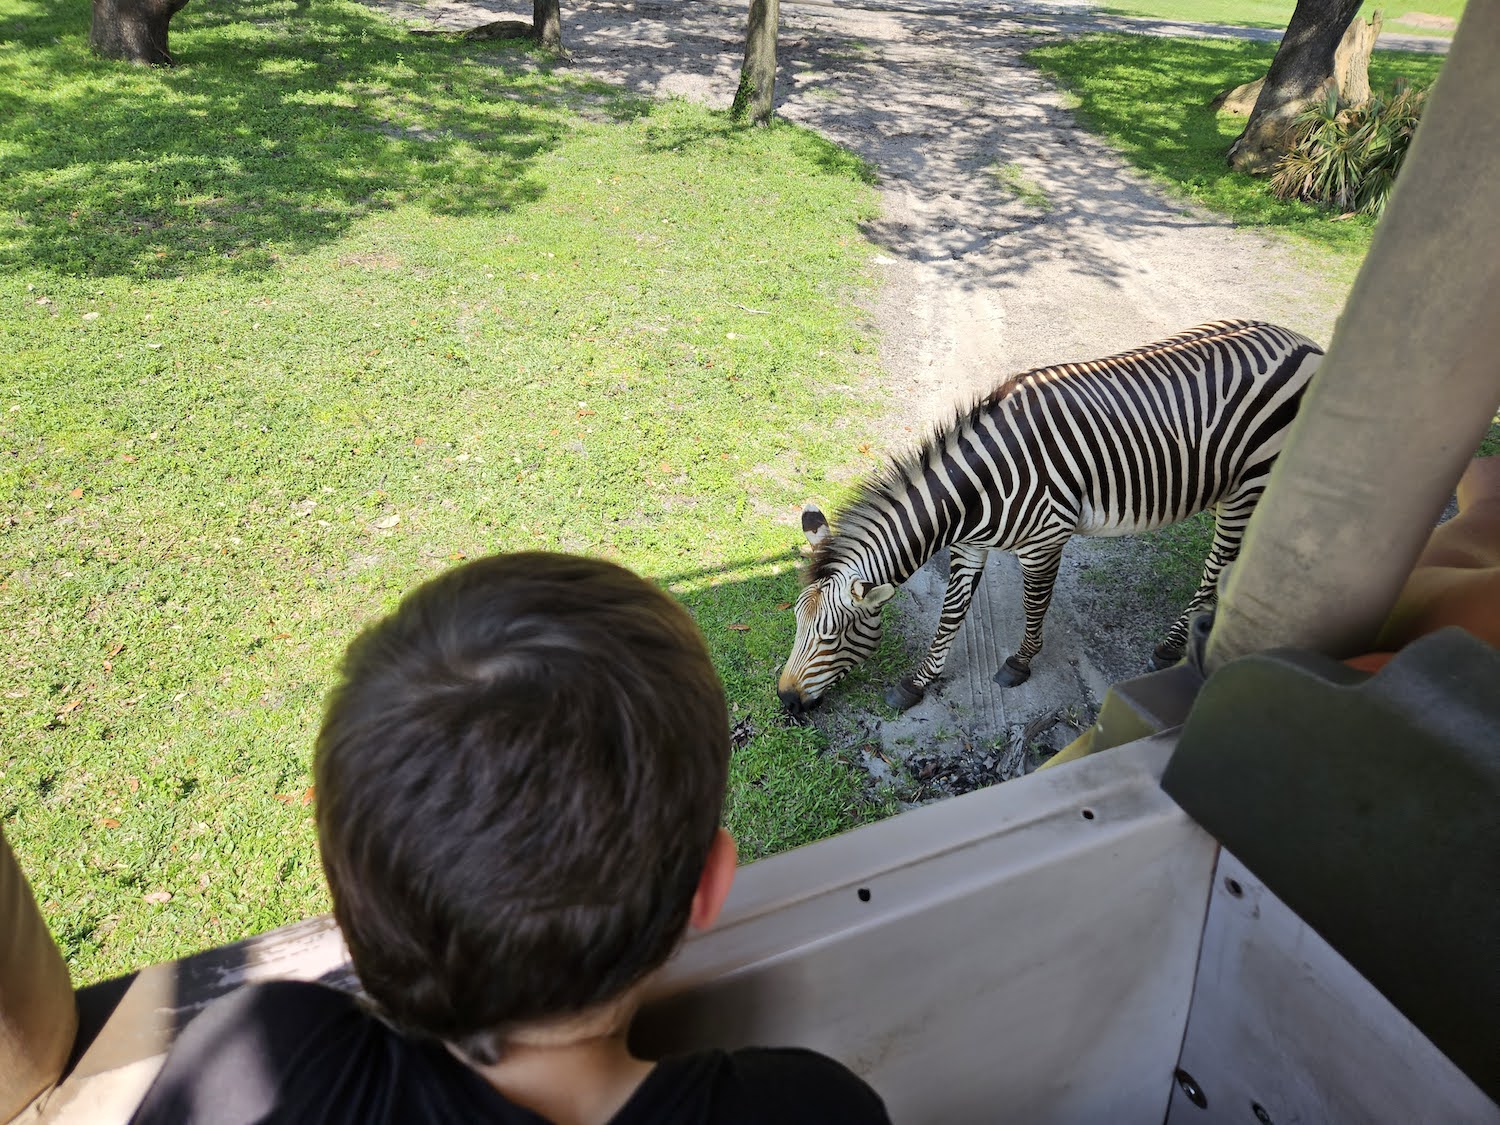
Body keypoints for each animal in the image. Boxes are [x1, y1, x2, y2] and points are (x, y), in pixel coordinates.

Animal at [780, 321, 1320, 717]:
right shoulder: (969, 545)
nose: (786, 701)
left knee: (1216, 566)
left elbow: (1034, 604)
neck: (977, 488)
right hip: (1226, 485)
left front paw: (1019, 664)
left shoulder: (1045, 540)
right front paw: (917, 683)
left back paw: (1170, 647)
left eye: (831, 636)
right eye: (796, 623)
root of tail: (1303, 341)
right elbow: (951, 614)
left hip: (1251, 484)